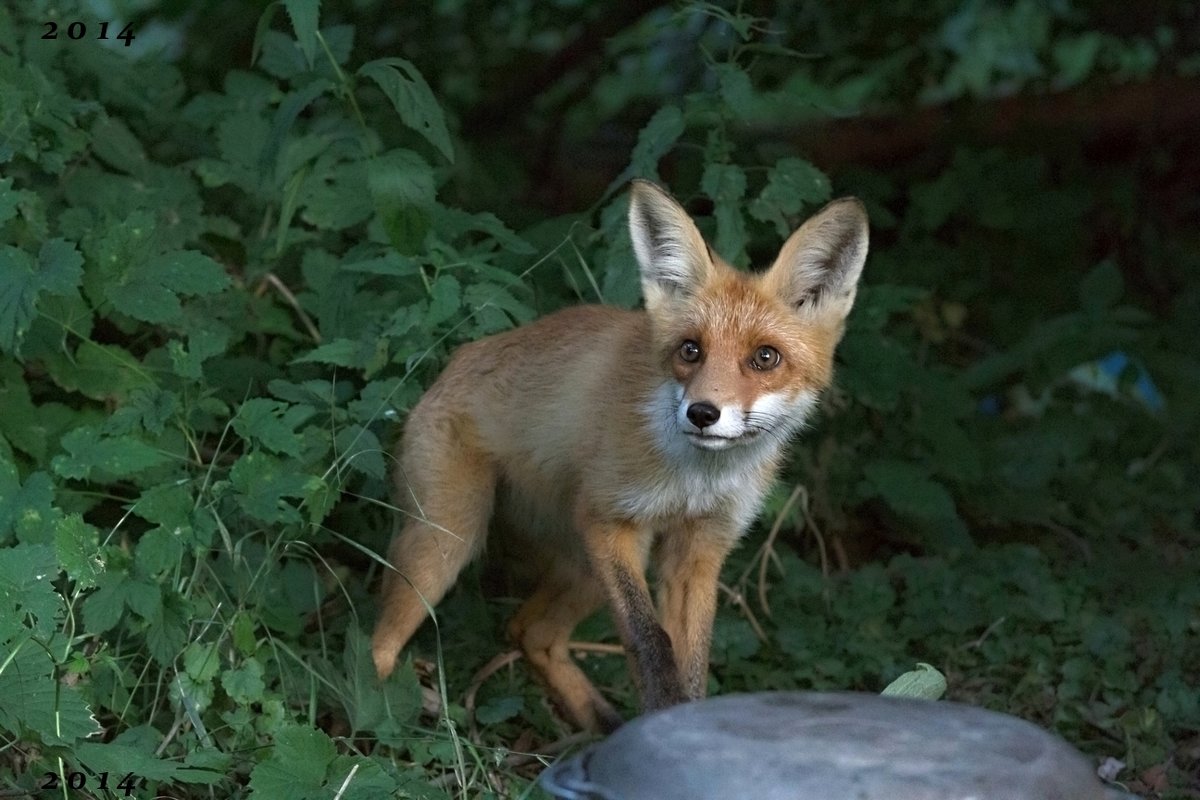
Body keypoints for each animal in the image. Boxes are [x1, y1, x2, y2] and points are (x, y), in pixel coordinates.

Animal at [369, 181, 868, 734]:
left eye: (765, 357)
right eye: (690, 350)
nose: (702, 413)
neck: (695, 479)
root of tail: (453, 361)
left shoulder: (699, 550)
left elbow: (693, 660)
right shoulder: (610, 520)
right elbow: (650, 642)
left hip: (583, 567)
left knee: (528, 632)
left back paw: (597, 721)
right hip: (447, 542)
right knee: (378, 646)